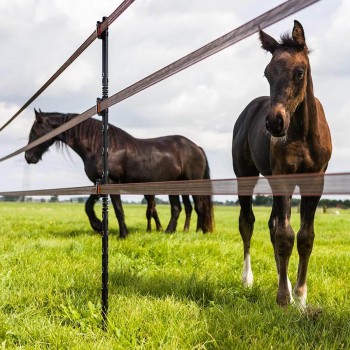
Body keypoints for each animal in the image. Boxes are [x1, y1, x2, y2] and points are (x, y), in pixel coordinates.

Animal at [24, 110, 213, 239]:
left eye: (35, 131)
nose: (28, 157)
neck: (101, 147)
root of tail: (196, 147)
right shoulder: (98, 183)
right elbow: (88, 206)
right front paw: (99, 226)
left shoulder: (111, 182)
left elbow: (118, 209)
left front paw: (123, 234)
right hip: (172, 185)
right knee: (177, 208)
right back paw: (169, 232)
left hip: (192, 184)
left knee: (198, 207)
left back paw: (198, 232)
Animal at [231, 20, 332, 308]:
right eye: (267, 74)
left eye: (299, 72)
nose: (275, 123)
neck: (304, 133)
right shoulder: (283, 177)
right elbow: (285, 235)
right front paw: (284, 298)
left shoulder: (315, 180)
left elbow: (305, 236)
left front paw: (300, 296)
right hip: (245, 175)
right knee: (248, 222)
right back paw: (248, 279)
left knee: (272, 225)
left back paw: (282, 278)